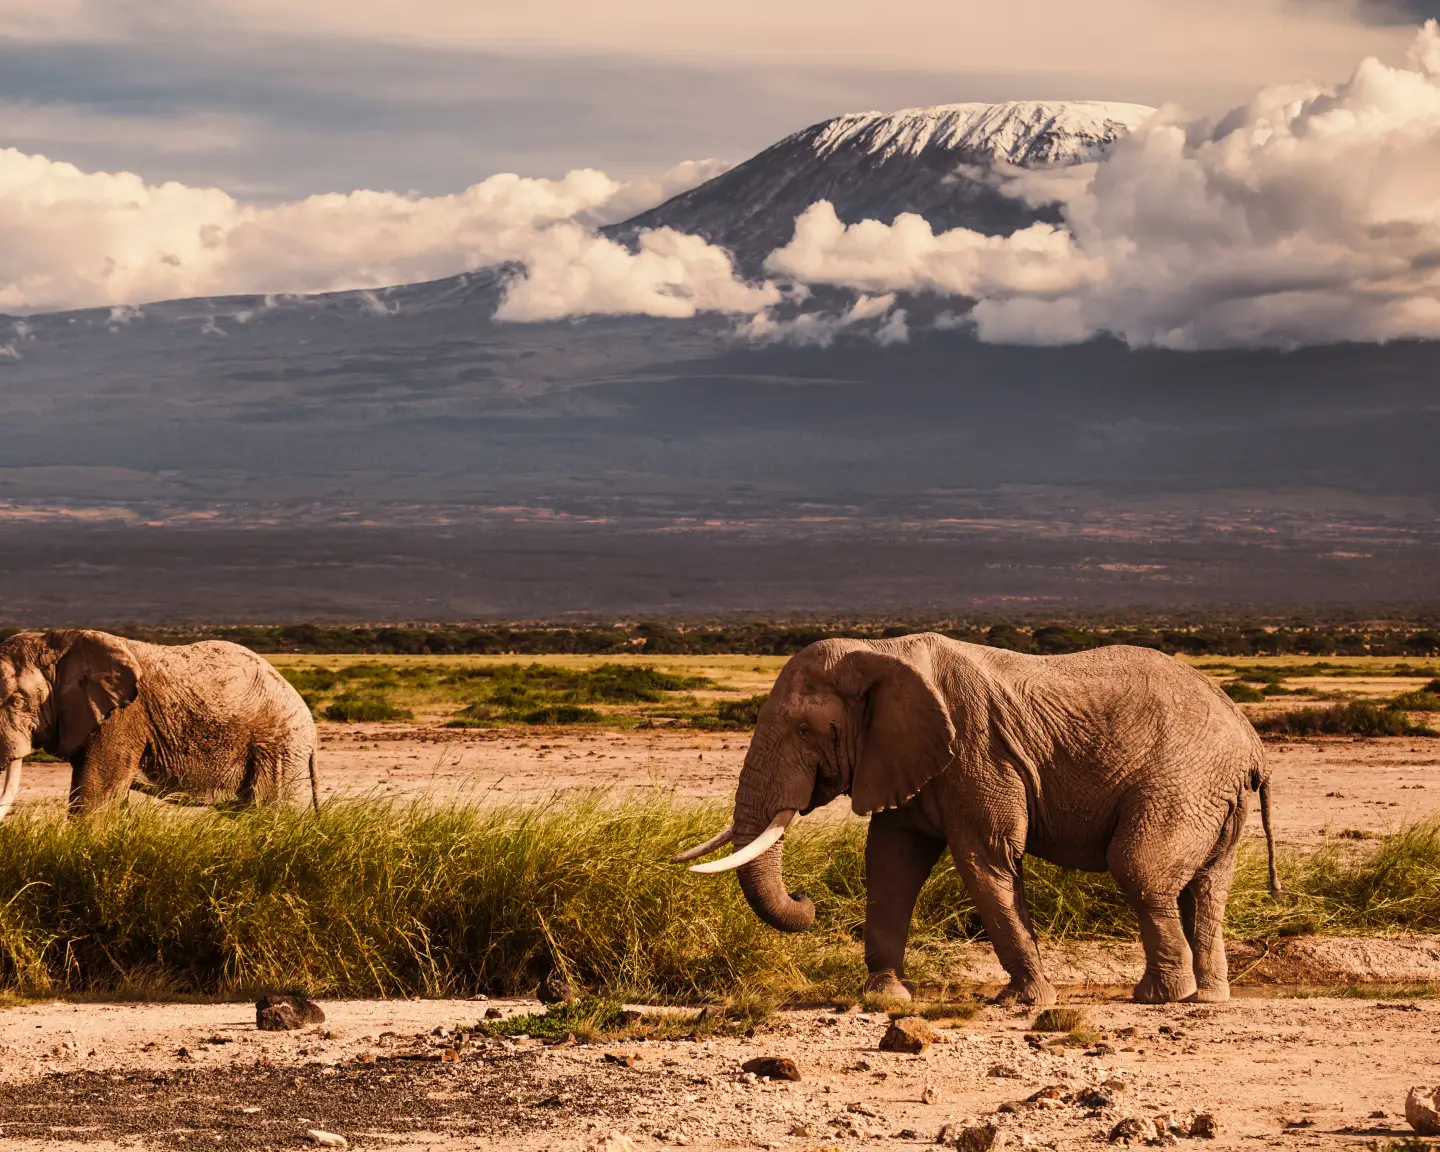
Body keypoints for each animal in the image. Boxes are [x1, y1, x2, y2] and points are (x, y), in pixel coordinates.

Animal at [0, 629, 318, 817]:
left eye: (15, 701)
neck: (57, 641)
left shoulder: (123, 716)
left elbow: (95, 794)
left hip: (278, 749)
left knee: (271, 812)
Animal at [674, 634, 1278, 1006]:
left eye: (806, 729)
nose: (807, 901)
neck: (878, 652)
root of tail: (1251, 744)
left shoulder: (976, 751)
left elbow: (984, 859)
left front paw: (1025, 1001)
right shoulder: (905, 756)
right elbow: (890, 863)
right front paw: (884, 997)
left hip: (1182, 780)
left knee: (1141, 871)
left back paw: (1160, 997)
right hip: (1214, 794)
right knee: (1206, 887)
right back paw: (1208, 996)